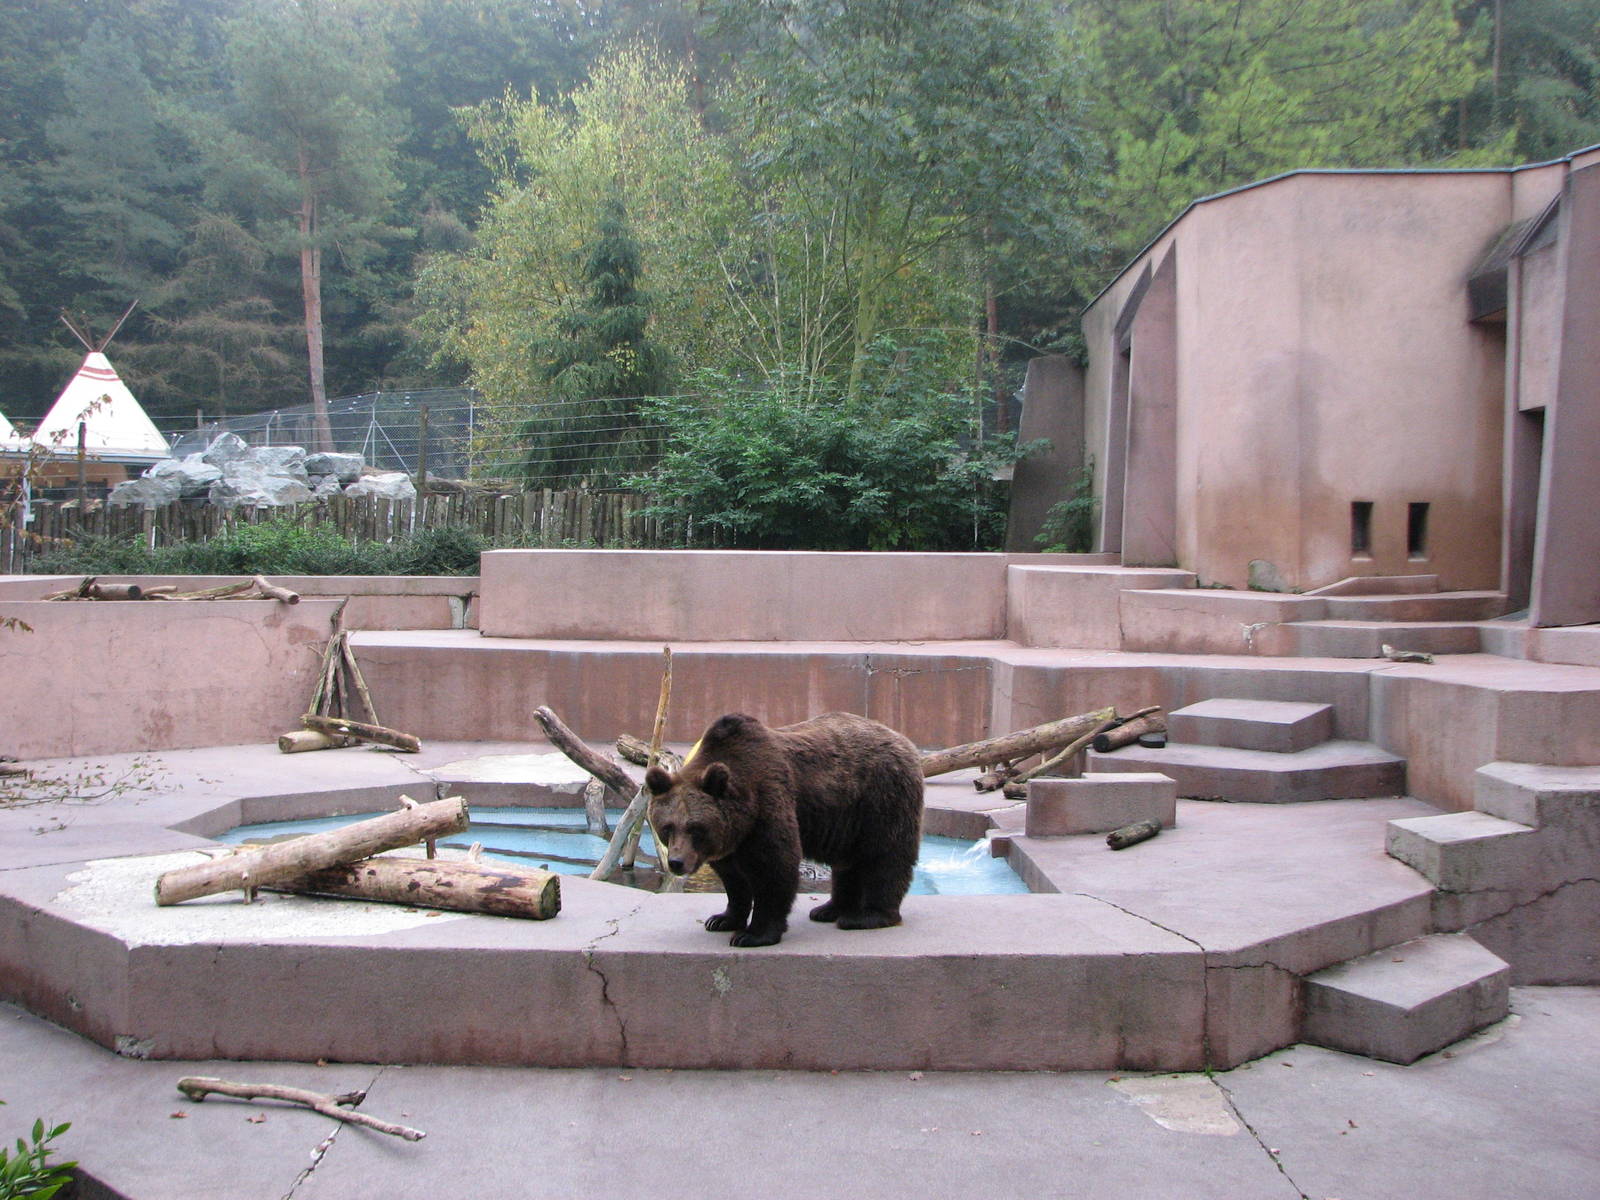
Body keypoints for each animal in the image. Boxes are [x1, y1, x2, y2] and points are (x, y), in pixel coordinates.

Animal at [644, 711, 924, 947]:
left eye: (695, 828)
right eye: (667, 827)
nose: (677, 862)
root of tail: (903, 739)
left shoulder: (767, 803)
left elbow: (775, 867)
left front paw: (752, 935)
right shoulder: (731, 840)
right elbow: (733, 879)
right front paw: (722, 919)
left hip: (882, 797)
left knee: (885, 857)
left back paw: (867, 916)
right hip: (848, 818)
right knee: (848, 863)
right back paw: (829, 909)